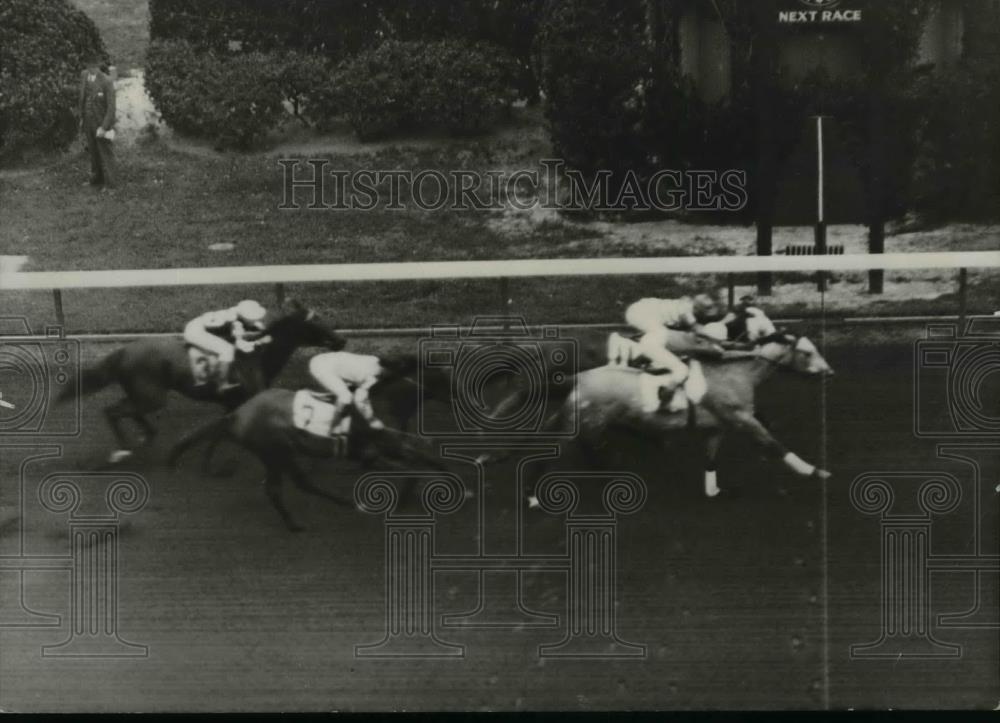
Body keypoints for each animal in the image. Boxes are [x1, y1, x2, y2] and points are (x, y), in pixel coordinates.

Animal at [59, 302, 348, 464]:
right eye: (316, 324)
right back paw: (123, 451)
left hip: (144, 395)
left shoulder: (232, 405)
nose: (341, 341)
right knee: (113, 411)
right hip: (151, 396)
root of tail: (123, 351)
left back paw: (146, 436)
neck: (259, 355)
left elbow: (214, 430)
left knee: (127, 411)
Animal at [168, 390, 450, 532]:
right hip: (277, 450)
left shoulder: (374, 449)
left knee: (295, 484)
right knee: (286, 486)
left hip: (277, 453)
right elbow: (399, 466)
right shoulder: (367, 453)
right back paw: (306, 519)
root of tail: (236, 417)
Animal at [536, 332, 832, 498]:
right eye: (807, 352)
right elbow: (774, 445)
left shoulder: (717, 427)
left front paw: (714, 491)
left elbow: (710, 459)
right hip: (585, 424)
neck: (736, 373)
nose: (829, 371)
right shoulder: (742, 418)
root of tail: (579, 378)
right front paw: (815, 471)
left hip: (579, 422)